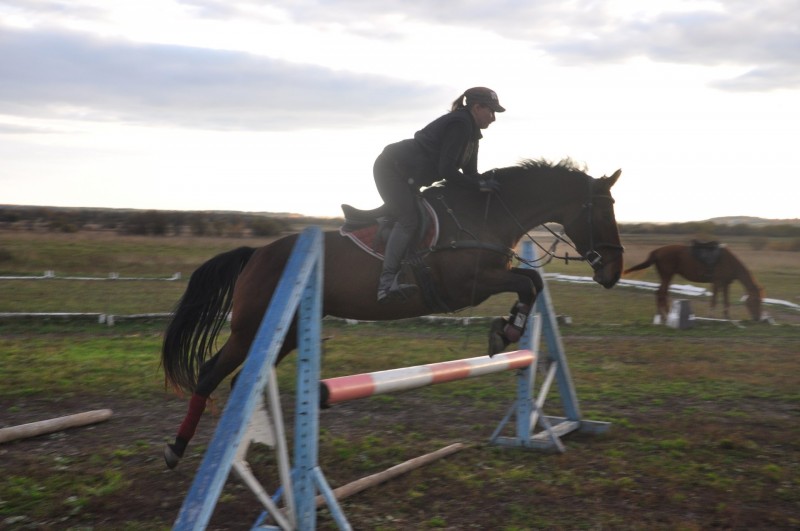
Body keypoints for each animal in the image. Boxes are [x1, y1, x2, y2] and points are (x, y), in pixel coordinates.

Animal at [161, 159, 624, 470]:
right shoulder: (469, 285)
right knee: (211, 374)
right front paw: (506, 333)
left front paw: (507, 329)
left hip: (284, 331)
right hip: (251, 328)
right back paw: (176, 450)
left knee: (242, 380)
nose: (613, 272)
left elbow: (533, 283)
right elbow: (528, 283)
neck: (484, 215)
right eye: (605, 210)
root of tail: (256, 254)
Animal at [620, 242, 764, 324]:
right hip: (667, 276)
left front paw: (727, 318)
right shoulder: (717, 282)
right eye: (756, 300)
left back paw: (663, 316)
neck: (729, 261)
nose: (757, 318)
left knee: (661, 293)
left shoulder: (725, 283)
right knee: (661, 293)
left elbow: (725, 301)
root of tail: (656, 252)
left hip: (667, 276)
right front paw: (711, 317)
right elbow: (714, 300)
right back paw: (665, 317)